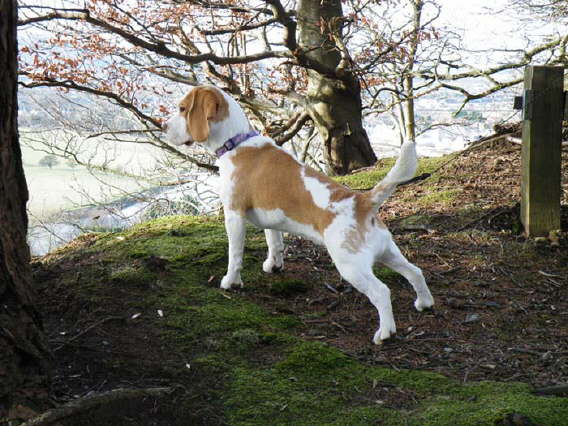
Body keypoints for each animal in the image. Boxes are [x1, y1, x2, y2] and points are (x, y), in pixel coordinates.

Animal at [164, 86, 434, 342]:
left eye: (182, 109)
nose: (164, 127)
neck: (237, 142)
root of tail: (363, 201)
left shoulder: (234, 215)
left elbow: (235, 255)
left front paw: (231, 282)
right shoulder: (271, 219)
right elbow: (274, 243)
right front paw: (273, 266)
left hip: (351, 267)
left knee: (382, 292)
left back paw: (385, 332)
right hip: (388, 253)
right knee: (415, 272)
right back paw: (424, 303)